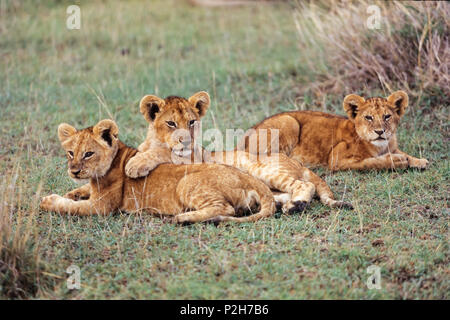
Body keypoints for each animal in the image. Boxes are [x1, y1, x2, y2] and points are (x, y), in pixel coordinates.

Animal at [37, 119, 274, 222]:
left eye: (88, 154)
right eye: (70, 153)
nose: (74, 171)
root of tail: (250, 179)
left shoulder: (102, 207)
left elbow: (71, 208)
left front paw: (48, 200)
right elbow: (78, 193)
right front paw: (72, 192)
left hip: (187, 183)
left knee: (225, 209)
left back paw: (182, 217)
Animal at [123, 91, 352, 211]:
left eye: (191, 122)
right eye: (171, 123)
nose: (186, 141)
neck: (154, 140)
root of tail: (299, 164)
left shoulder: (194, 157)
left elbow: (164, 152)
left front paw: (135, 165)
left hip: (263, 169)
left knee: (305, 185)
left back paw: (296, 205)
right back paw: (285, 204)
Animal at [239, 90, 428, 170]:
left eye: (387, 116)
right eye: (369, 117)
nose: (380, 132)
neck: (381, 146)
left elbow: (403, 153)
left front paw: (418, 160)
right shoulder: (336, 158)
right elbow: (369, 162)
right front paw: (396, 161)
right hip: (288, 120)